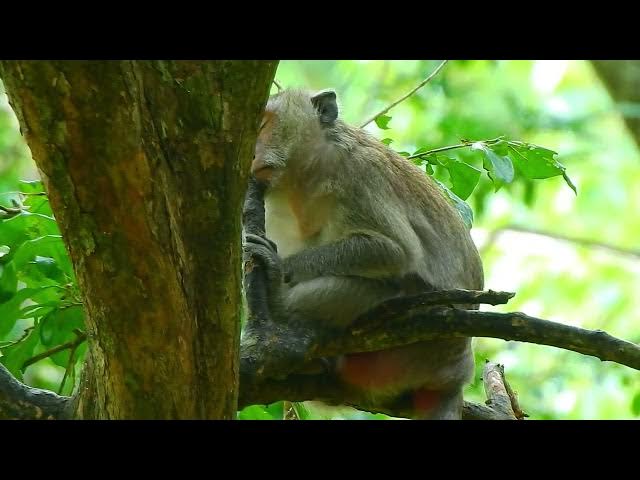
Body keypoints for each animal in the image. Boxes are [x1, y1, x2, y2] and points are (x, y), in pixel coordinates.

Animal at [243, 88, 484, 419]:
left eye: (263, 125)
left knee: (385, 285)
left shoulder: (360, 173)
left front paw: (280, 266)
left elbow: (394, 251)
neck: (304, 178)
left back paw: (278, 300)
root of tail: (457, 375)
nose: (252, 155)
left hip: (424, 343)